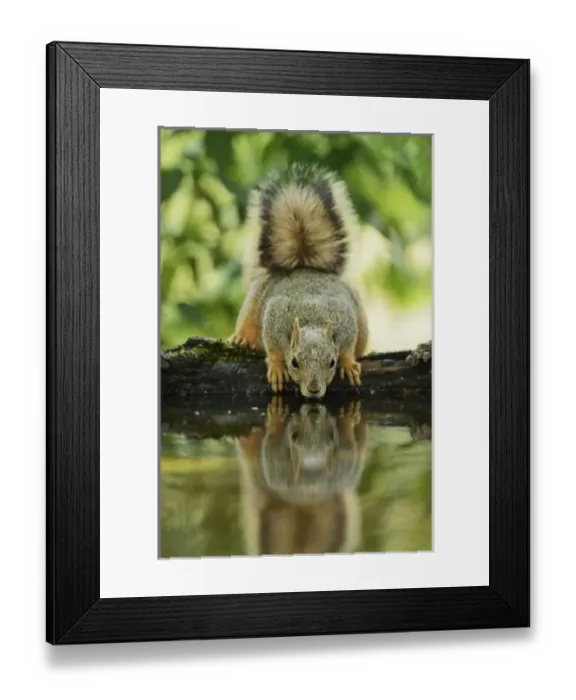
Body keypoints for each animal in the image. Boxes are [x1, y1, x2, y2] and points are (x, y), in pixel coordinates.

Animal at [230, 163, 369, 399]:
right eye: (294, 362)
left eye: (331, 362)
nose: (313, 390)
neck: (311, 317)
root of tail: (303, 266)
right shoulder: (274, 320)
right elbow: (274, 350)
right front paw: (277, 368)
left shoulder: (347, 321)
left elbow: (348, 348)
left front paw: (349, 364)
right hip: (254, 301)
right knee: (248, 321)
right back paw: (242, 338)